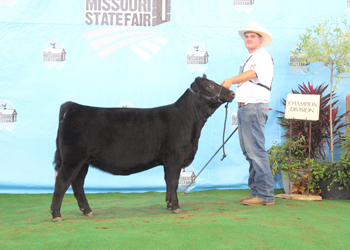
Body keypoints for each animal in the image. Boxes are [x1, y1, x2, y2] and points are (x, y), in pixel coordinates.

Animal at [50, 75, 235, 222]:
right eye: (209, 86)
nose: (232, 93)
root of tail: (74, 106)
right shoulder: (174, 157)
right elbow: (173, 181)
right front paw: (176, 207)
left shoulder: (169, 161)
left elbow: (168, 181)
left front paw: (169, 204)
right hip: (72, 159)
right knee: (62, 182)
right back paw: (56, 215)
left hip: (83, 162)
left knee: (77, 184)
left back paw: (87, 211)